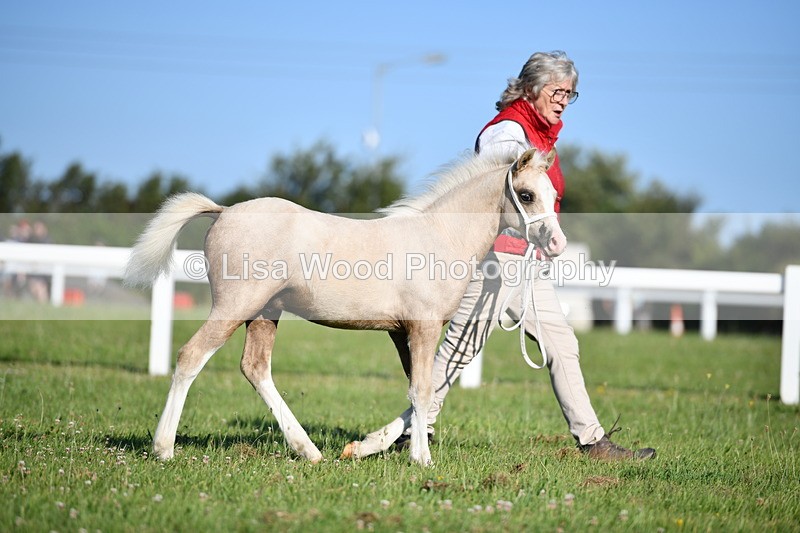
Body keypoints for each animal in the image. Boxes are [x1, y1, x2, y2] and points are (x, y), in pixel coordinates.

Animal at [123, 147, 567, 466]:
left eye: (554, 196)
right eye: (526, 195)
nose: (557, 245)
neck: (438, 237)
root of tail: (223, 211)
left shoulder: (400, 332)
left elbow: (418, 391)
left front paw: (374, 446)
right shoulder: (422, 327)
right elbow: (423, 390)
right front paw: (421, 460)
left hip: (265, 313)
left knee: (255, 368)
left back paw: (309, 451)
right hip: (235, 306)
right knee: (191, 356)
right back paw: (163, 448)